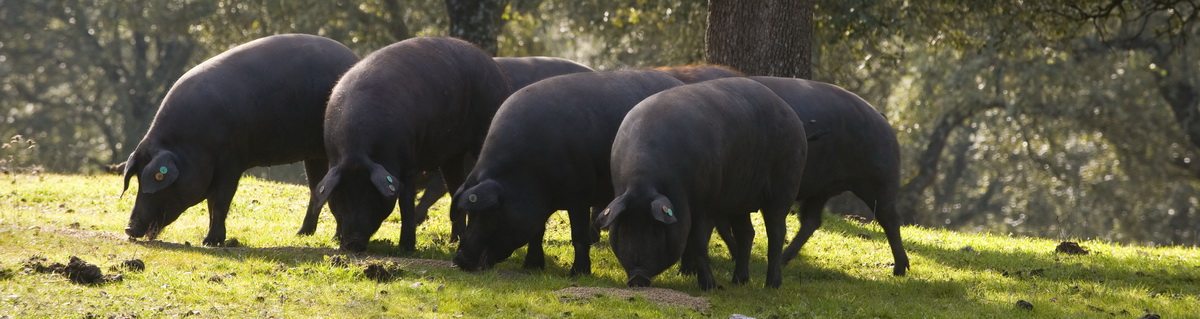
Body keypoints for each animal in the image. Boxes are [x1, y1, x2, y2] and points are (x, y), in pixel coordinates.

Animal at [119, 34, 357, 244]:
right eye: (137, 179)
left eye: (153, 180)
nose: (129, 228)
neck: (189, 143)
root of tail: (353, 57)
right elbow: (211, 203)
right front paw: (211, 240)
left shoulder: (231, 160)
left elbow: (221, 201)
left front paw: (210, 241)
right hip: (314, 154)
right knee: (317, 189)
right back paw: (301, 235)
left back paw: (335, 238)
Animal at [309, 37, 511, 251]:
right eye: (340, 195)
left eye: (371, 193)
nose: (354, 243)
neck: (356, 151)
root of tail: (497, 69)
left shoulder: (408, 163)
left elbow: (406, 205)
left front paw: (406, 248)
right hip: (452, 156)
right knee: (456, 187)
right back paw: (454, 240)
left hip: (483, 128)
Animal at [451, 71, 681, 275]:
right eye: (469, 212)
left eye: (491, 212)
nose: (458, 260)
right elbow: (537, 232)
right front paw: (532, 267)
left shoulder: (579, 195)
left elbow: (578, 236)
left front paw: (578, 273)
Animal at [597, 77, 806, 289]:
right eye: (624, 227)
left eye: (656, 227)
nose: (638, 277)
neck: (644, 182)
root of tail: (791, 113)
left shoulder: (703, 205)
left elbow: (698, 243)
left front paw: (710, 287)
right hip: (739, 200)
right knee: (747, 233)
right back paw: (738, 282)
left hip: (784, 187)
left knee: (776, 233)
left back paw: (771, 285)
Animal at [748, 76, 907, 275]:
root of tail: (882, 118)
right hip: (821, 189)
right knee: (811, 220)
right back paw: (785, 257)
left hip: (878, 184)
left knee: (890, 219)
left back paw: (899, 268)